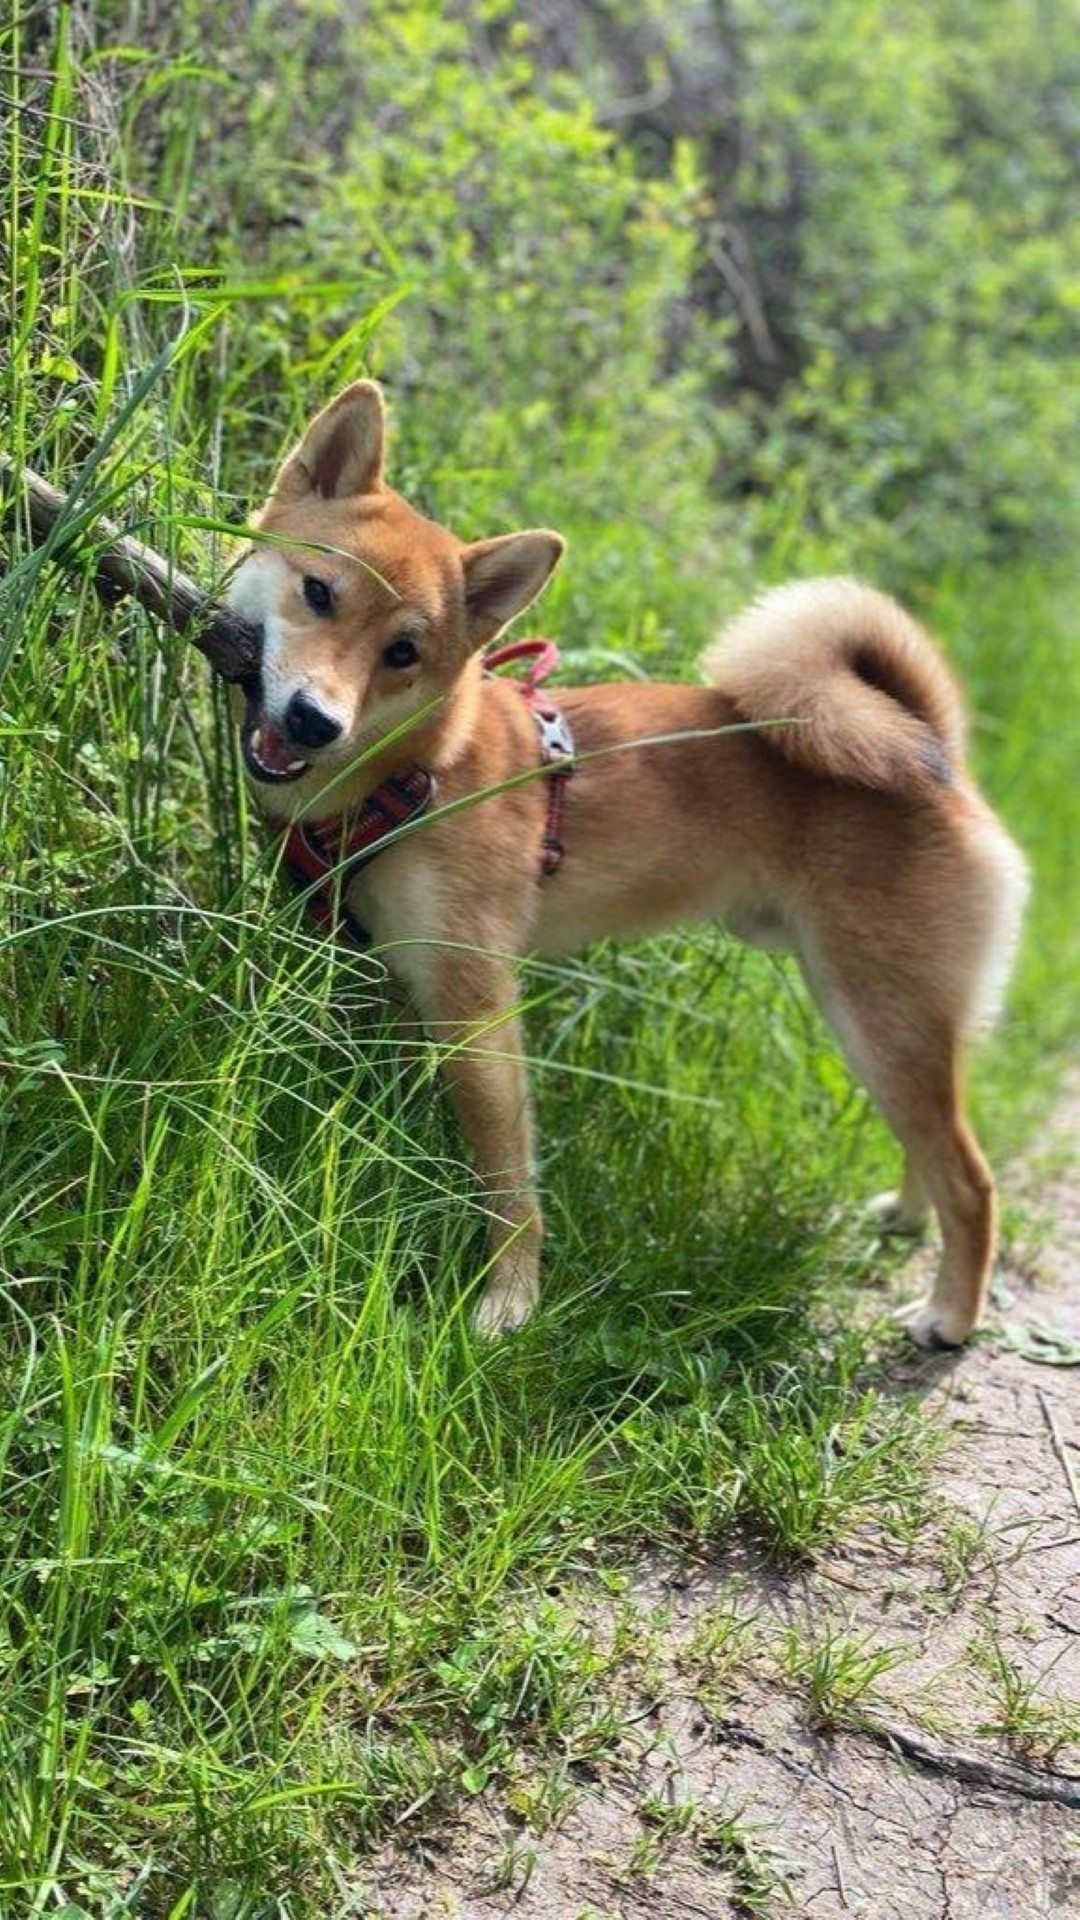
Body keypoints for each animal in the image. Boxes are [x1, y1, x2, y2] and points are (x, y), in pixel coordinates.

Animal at [226, 379, 1028, 1347]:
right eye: (318, 592)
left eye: (403, 653)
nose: (315, 721)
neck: (421, 769)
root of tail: (936, 753)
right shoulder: (395, 972)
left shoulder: (477, 1009)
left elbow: (507, 1184)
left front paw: (509, 1302)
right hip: (875, 1018)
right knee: (934, 1141)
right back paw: (907, 1218)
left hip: (878, 1016)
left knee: (972, 1178)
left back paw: (950, 1312)